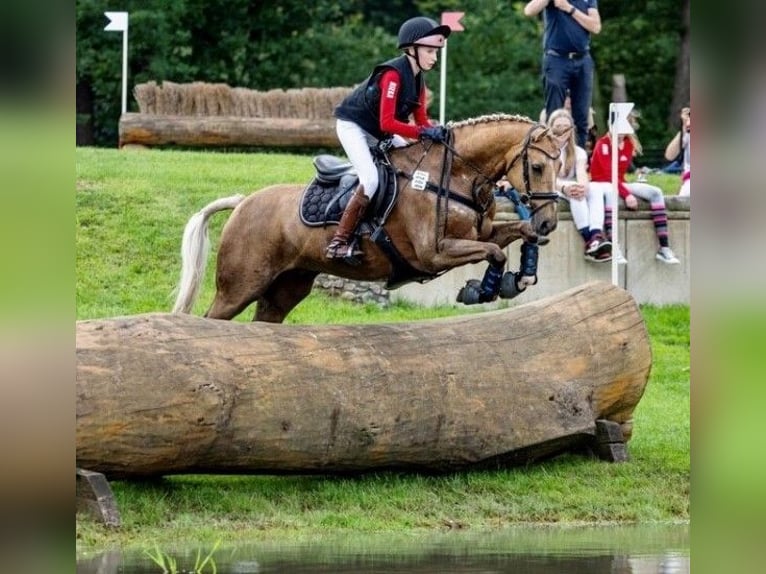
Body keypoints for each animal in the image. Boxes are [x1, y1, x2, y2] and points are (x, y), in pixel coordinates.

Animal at [174, 113, 560, 324]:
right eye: (538, 167)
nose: (550, 224)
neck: (456, 174)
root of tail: (242, 203)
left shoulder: (482, 233)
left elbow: (516, 234)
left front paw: (520, 277)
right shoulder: (433, 253)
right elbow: (494, 253)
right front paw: (483, 289)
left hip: (287, 286)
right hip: (240, 285)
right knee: (211, 319)